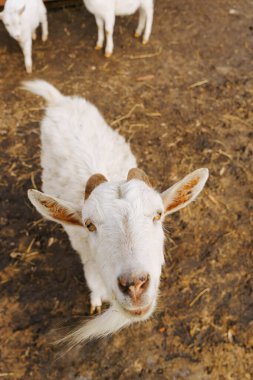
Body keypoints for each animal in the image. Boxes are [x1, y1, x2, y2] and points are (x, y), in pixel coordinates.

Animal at [22, 81, 210, 348]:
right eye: (89, 225)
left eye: (158, 214)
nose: (135, 286)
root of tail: (59, 100)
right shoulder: (88, 261)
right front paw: (95, 302)